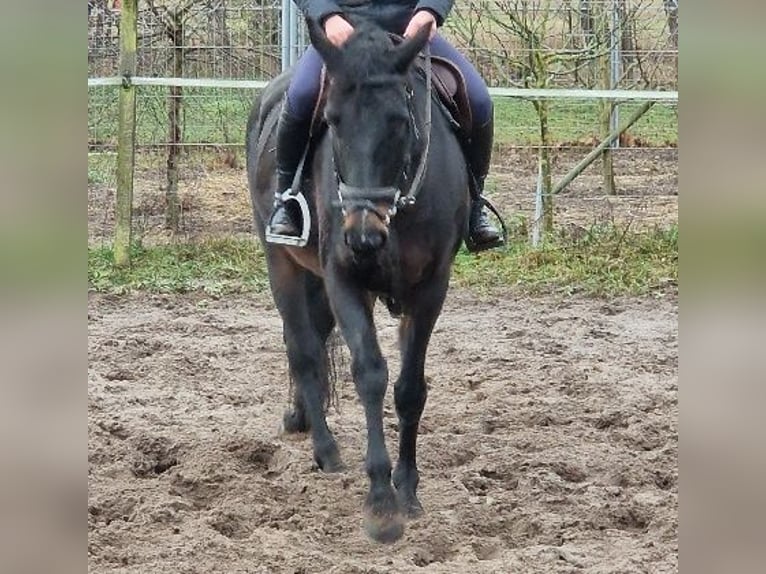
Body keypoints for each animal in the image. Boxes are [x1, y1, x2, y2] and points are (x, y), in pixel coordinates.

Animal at [249, 19, 472, 544]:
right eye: (331, 120)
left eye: (399, 120)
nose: (363, 237)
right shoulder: (344, 278)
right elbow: (370, 374)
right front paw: (381, 505)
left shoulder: (431, 288)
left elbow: (410, 388)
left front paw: (407, 490)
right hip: (281, 261)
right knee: (303, 349)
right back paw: (326, 449)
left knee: (315, 339)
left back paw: (301, 419)